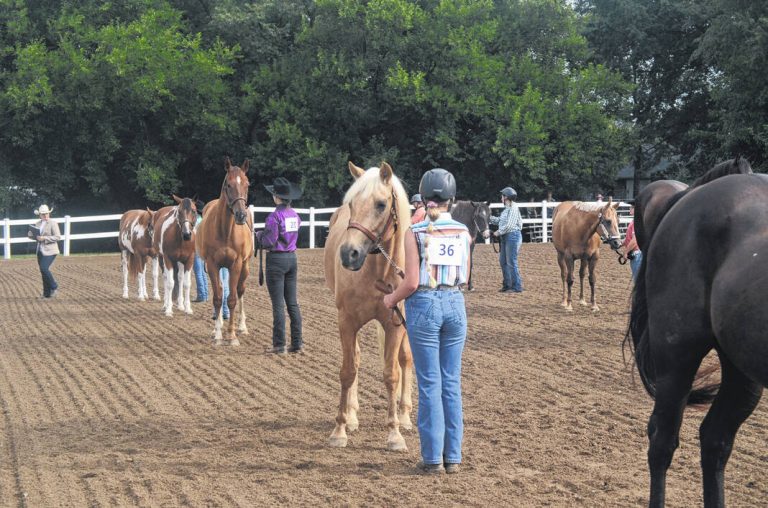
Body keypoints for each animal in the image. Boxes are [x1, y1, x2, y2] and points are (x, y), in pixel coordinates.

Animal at [194, 157, 254, 344]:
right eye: (228, 184)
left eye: (247, 184)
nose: (241, 215)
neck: (225, 231)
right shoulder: (213, 265)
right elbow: (218, 297)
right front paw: (219, 334)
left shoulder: (236, 265)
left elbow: (232, 298)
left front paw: (232, 335)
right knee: (219, 291)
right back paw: (217, 326)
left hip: (245, 267)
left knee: (240, 291)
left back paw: (242, 326)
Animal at [322, 161, 414, 450]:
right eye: (352, 204)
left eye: (381, 204)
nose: (348, 254)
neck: (378, 272)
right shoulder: (347, 321)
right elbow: (348, 370)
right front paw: (340, 428)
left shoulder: (395, 325)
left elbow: (391, 373)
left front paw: (394, 432)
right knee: (357, 358)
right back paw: (352, 416)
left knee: (405, 359)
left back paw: (405, 416)